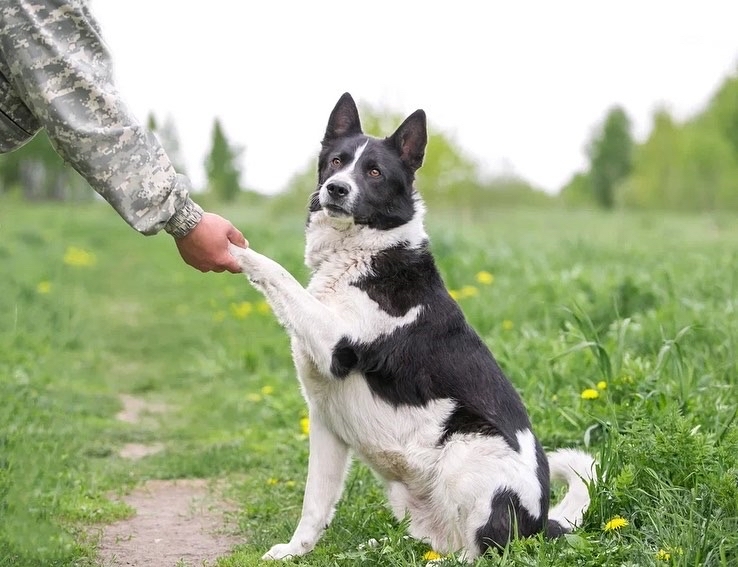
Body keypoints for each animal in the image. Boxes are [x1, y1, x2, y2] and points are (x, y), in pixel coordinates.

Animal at [227, 93, 596, 564]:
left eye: (374, 172)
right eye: (336, 161)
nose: (336, 188)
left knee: (484, 550)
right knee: (439, 541)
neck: (361, 256)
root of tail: (539, 526)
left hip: (465, 447)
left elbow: (277, 273)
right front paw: (295, 551)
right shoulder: (325, 424)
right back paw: (378, 548)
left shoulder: (335, 345)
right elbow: (315, 505)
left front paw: (231, 246)